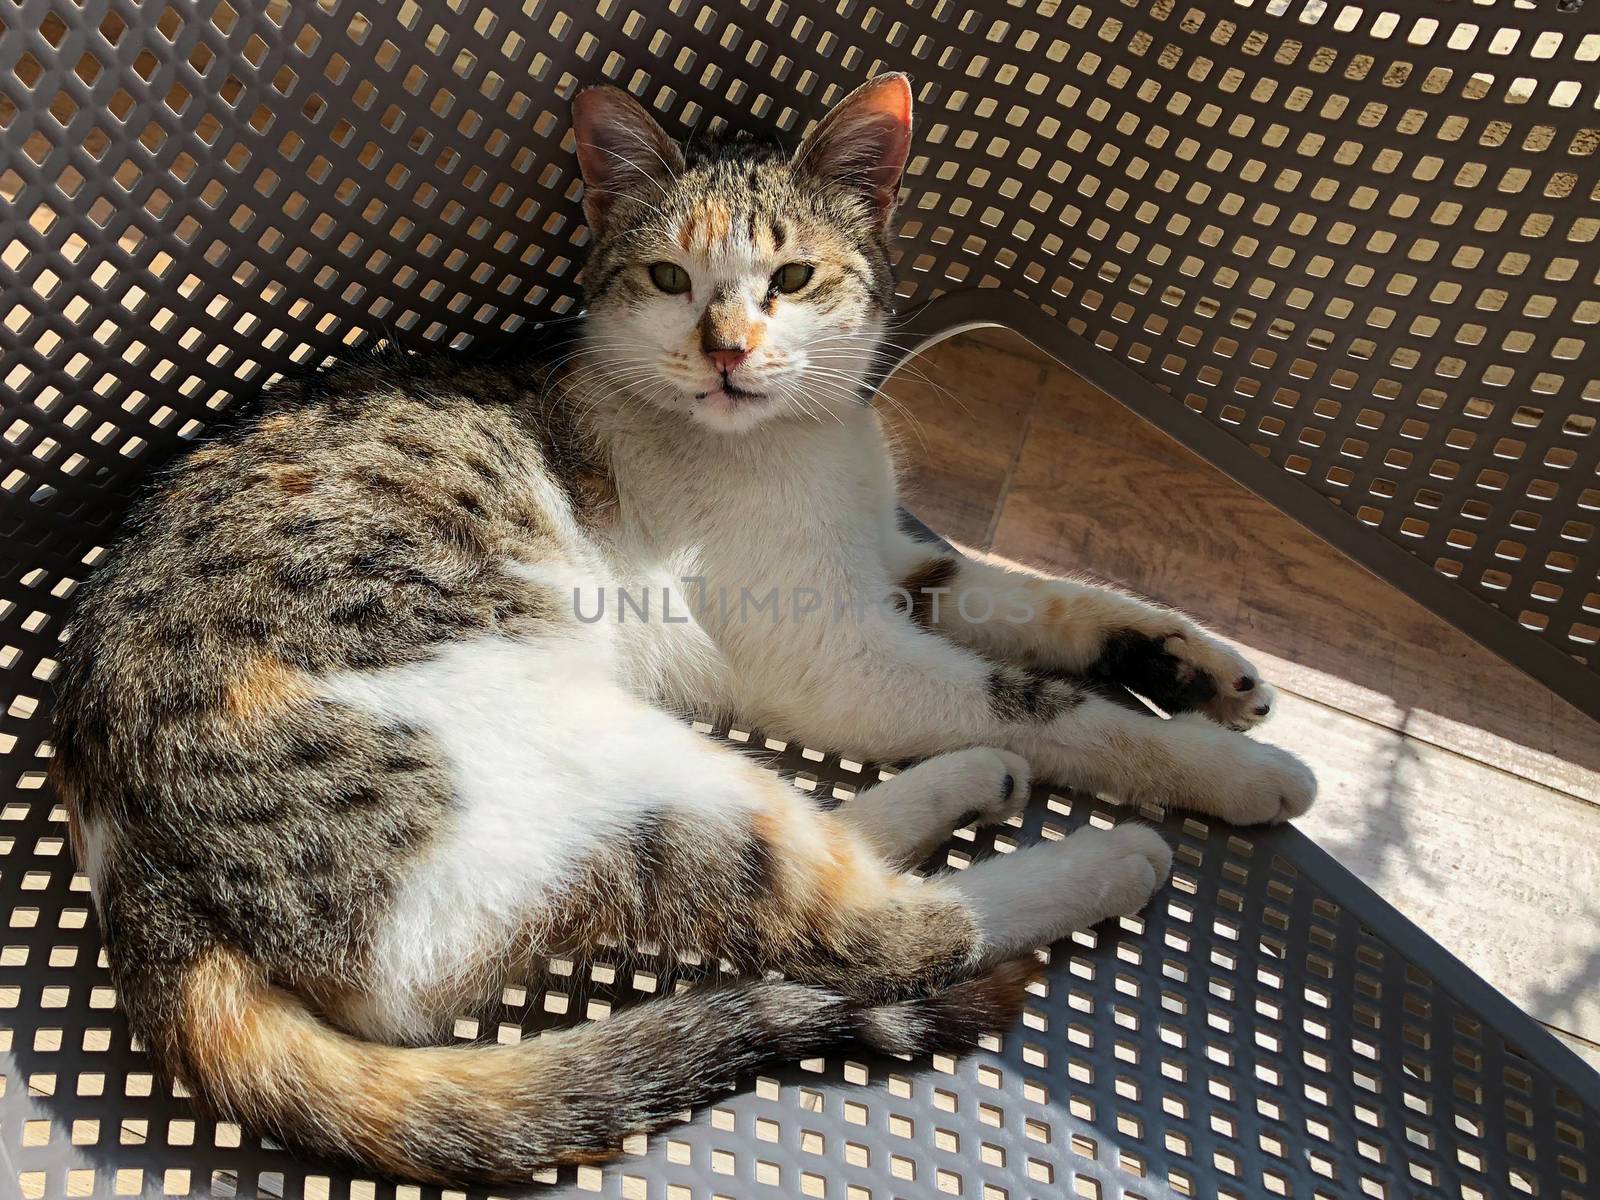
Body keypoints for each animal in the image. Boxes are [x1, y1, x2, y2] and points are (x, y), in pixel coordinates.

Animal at [50, 72, 1312, 1184]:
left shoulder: (900, 564)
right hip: (596, 747)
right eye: (668, 278)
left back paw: (972, 782)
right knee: (873, 934)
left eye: (793, 277)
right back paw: (1104, 858)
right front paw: (1234, 768)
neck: (802, 443)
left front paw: (1213, 671)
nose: (727, 350)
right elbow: (1057, 706)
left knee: (824, 851)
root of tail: (149, 893)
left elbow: (1056, 602)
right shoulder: (839, 659)